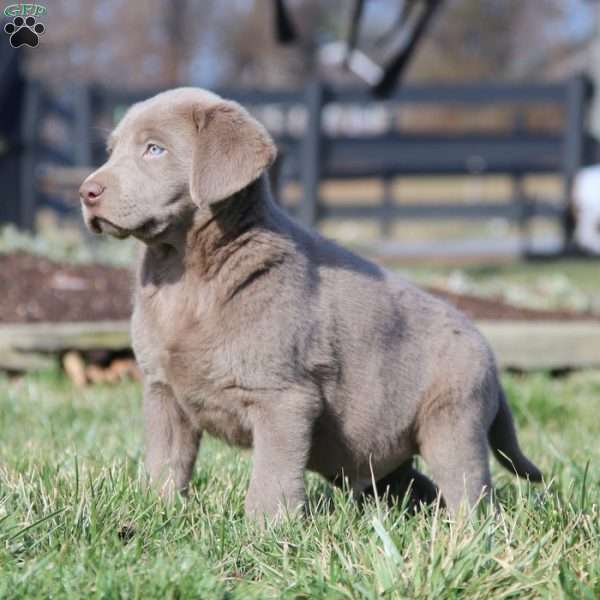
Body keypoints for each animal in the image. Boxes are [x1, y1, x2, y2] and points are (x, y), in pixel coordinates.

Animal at [79, 85, 544, 520]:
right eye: (112, 150)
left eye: (154, 149)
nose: (86, 191)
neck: (186, 276)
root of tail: (490, 354)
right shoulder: (162, 392)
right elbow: (166, 461)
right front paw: (157, 511)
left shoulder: (283, 399)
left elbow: (272, 477)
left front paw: (265, 531)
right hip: (370, 450)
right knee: (413, 485)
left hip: (452, 418)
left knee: (470, 491)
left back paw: (467, 533)